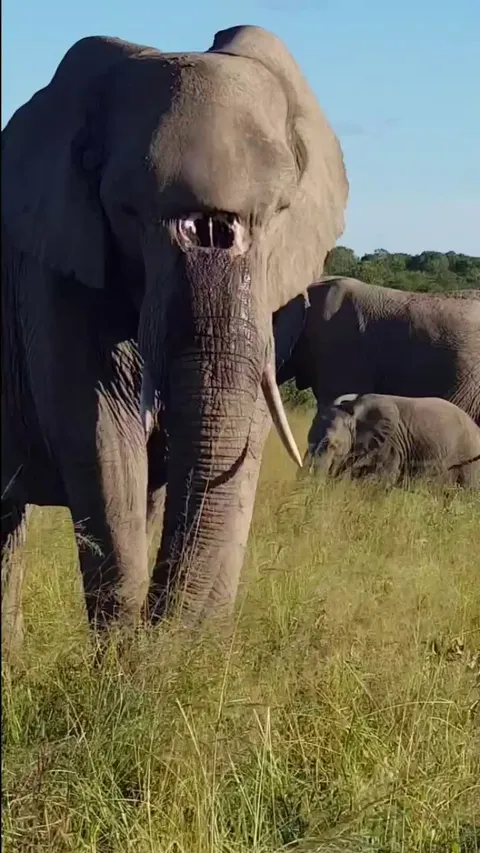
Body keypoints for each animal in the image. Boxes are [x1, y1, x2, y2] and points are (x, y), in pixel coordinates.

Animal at [1, 25, 348, 648]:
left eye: (281, 209)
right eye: (125, 209)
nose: (160, 635)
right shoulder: (53, 272)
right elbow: (103, 442)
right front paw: (125, 663)